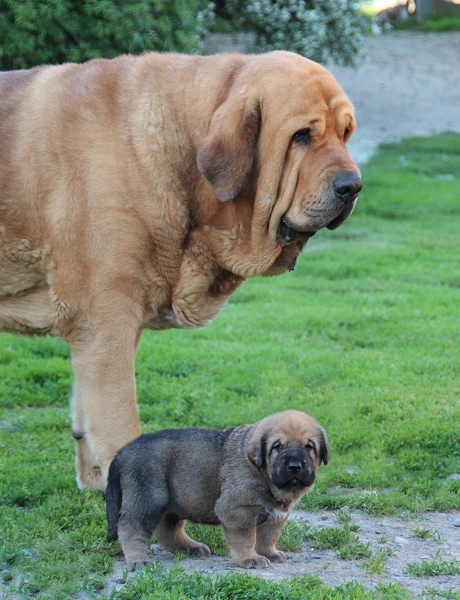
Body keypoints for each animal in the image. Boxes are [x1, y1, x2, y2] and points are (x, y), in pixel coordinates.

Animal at [0, 50, 360, 492]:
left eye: (345, 133)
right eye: (302, 136)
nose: (353, 186)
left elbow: (84, 414)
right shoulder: (106, 328)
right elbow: (120, 429)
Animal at [105, 410, 328, 568]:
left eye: (309, 447)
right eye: (278, 447)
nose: (294, 466)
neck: (263, 473)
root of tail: (125, 451)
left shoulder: (275, 515)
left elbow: (268, 537)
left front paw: (269, 553)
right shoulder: (239, 511)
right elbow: (246, 538)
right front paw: (250, 558)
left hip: (174, 502)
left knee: (167, 530)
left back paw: (190, 547)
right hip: (148, 498)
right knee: (131, 528)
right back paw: (138, 560)